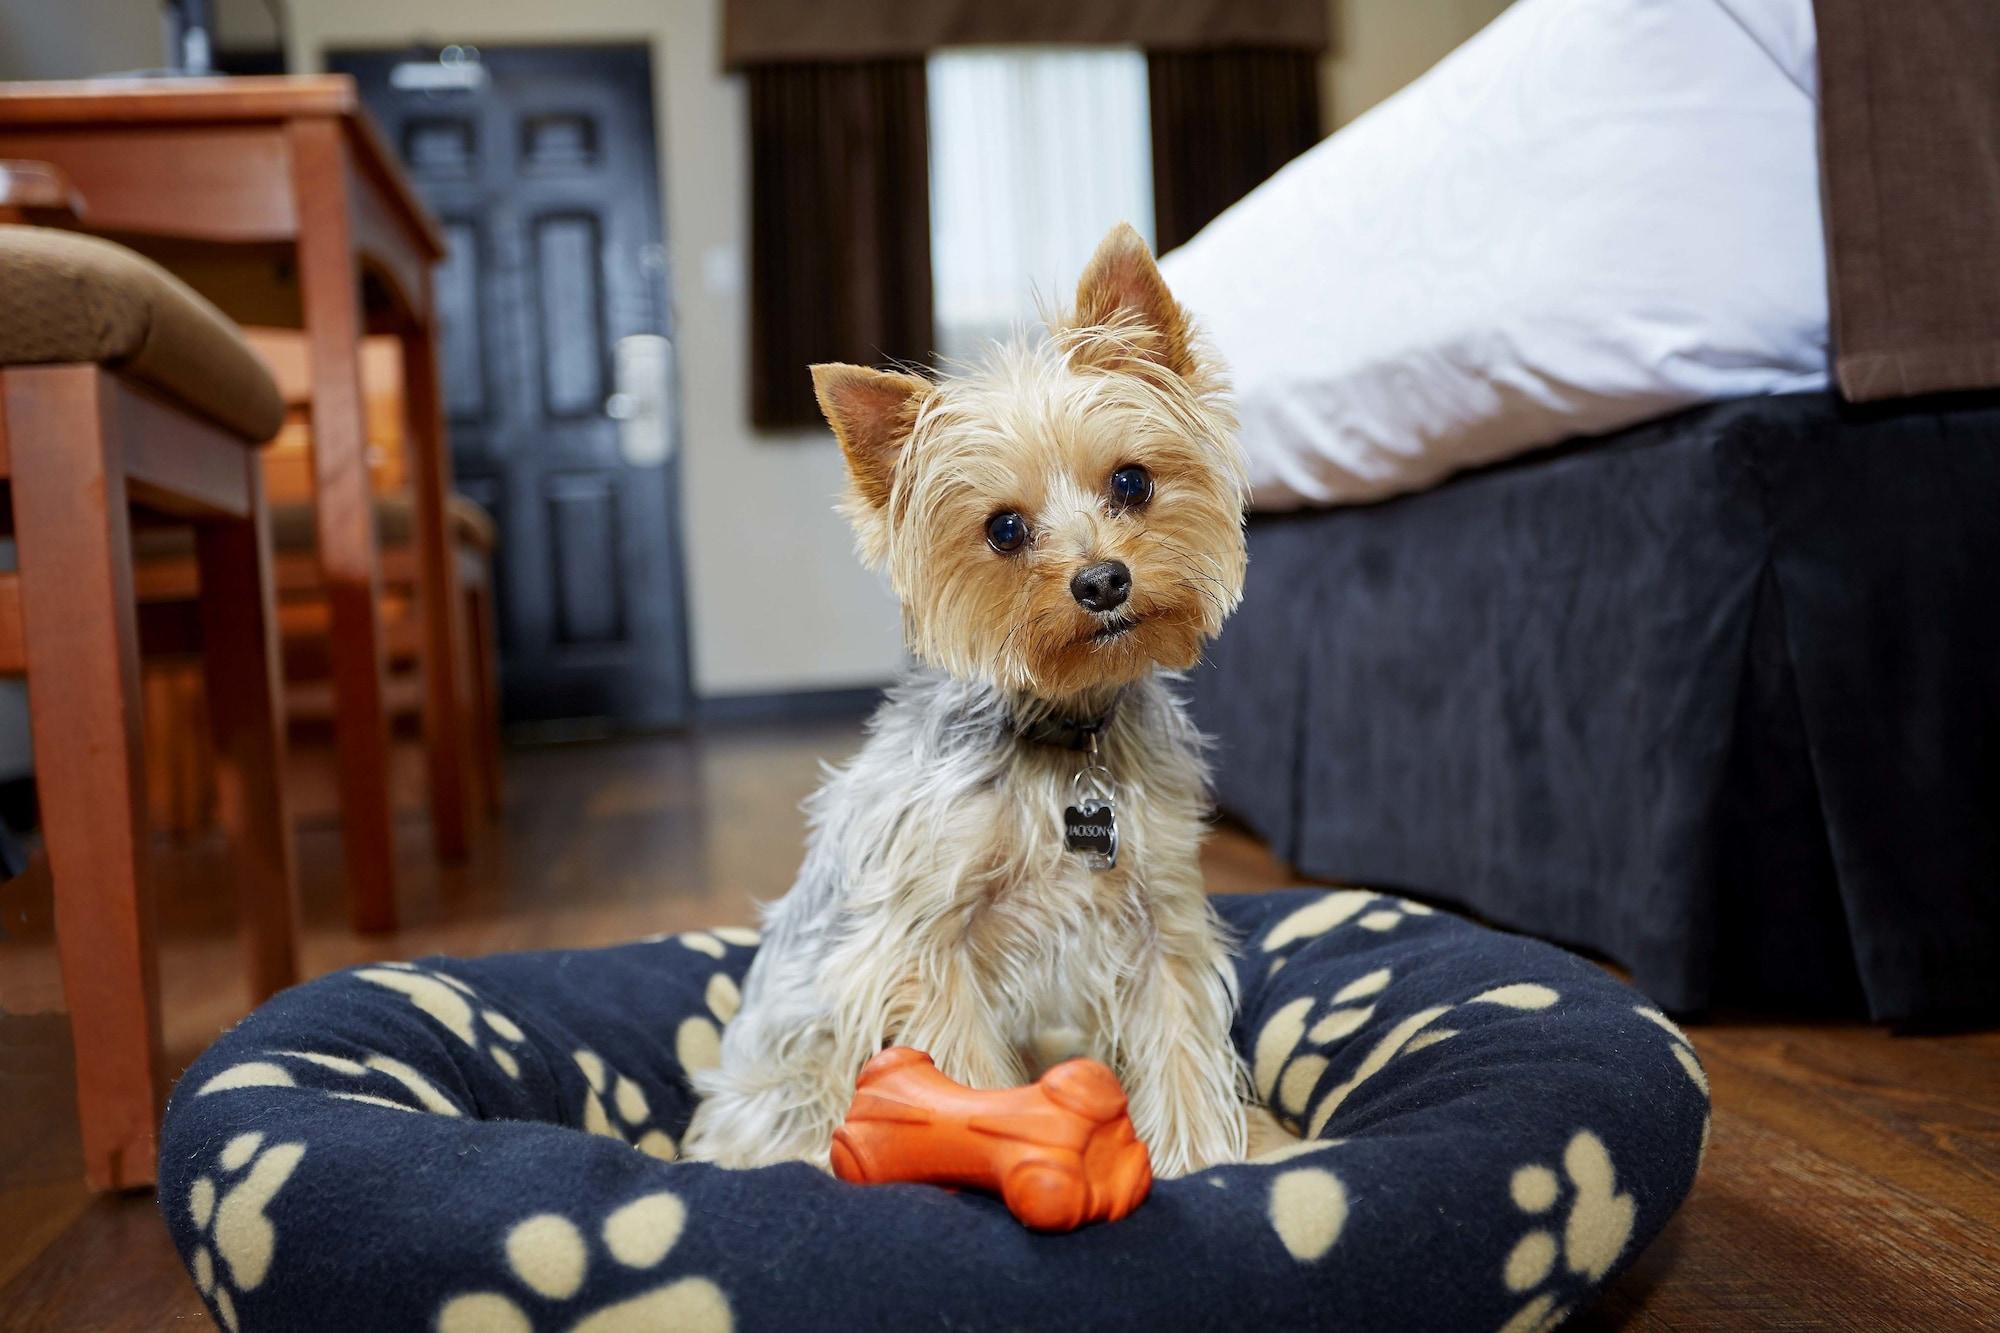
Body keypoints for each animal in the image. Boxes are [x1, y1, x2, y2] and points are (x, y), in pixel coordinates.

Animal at [688, 220, 1248, 1176]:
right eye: (1005, 529)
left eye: (1132, 482)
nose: (1103, 581)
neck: (1064, 733)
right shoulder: (922, 942)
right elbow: (966, 1069)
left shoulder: (1160, 916)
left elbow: (1180, 1044)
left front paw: (1201, 1168)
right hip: (795, 1082)